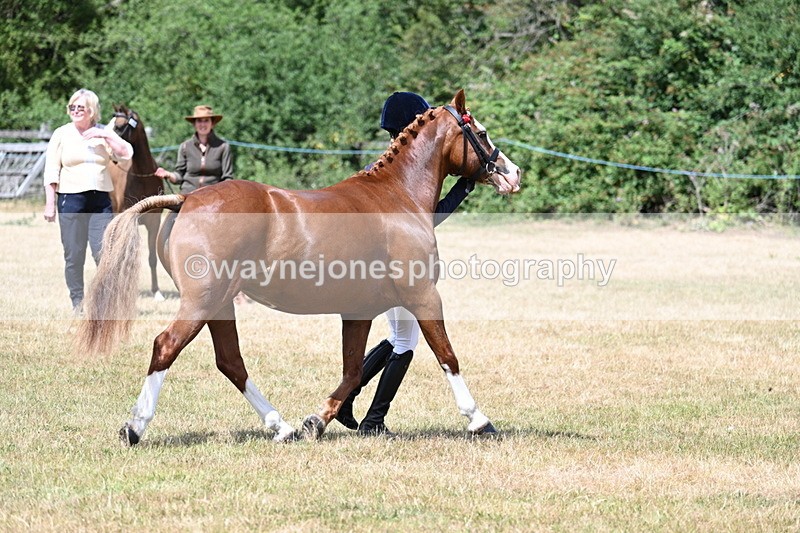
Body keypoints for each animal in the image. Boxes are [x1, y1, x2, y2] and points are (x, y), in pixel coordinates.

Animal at [107, 104, 165, 301]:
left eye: (119, 127)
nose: (109, 150)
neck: (142, 175)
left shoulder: (154, 221)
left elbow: (152, 258)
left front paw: (157, 292)